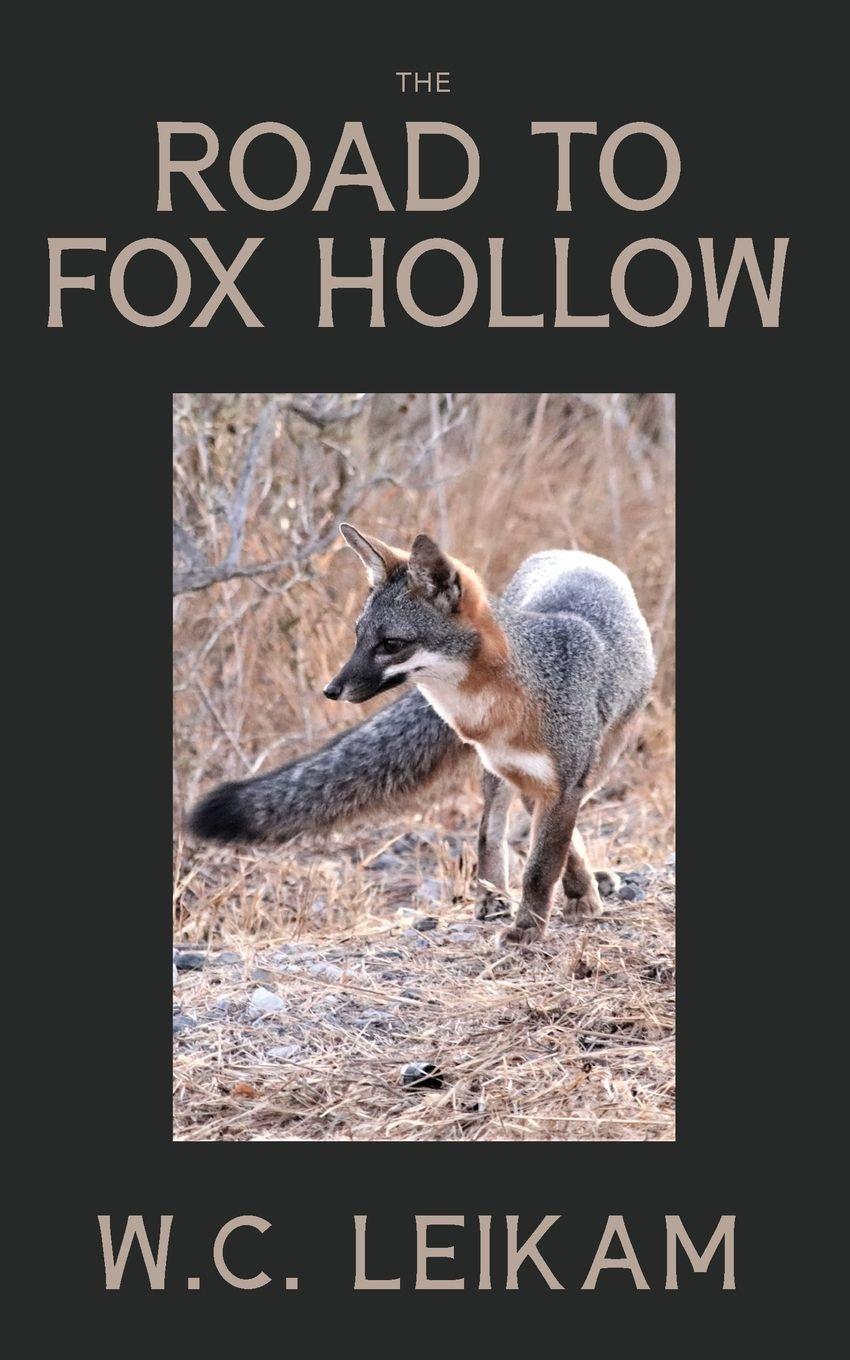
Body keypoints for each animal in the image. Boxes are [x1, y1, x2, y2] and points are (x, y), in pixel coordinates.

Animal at [189, 524, 655, 945]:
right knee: (492, 828)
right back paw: (495, 895)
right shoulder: (526, 775)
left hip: (600, 763)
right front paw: (558, 905)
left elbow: (543, 864)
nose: (331, 689)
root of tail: (569, 552)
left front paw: (533, 925)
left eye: (391, 644)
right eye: (358, 637)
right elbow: (539, 848)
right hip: (506, 775)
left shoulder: (562, 781)